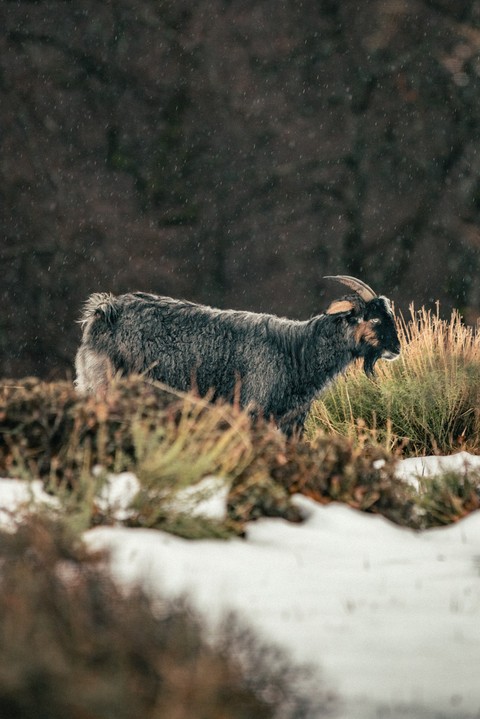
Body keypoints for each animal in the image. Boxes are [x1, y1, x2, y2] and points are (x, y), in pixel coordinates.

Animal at [74, 276, 401, 436]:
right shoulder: (253, 409)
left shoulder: (292, 420)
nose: (396, 349)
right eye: (373, 318)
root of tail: (104, 310)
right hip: (107, 385)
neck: (295, 351)